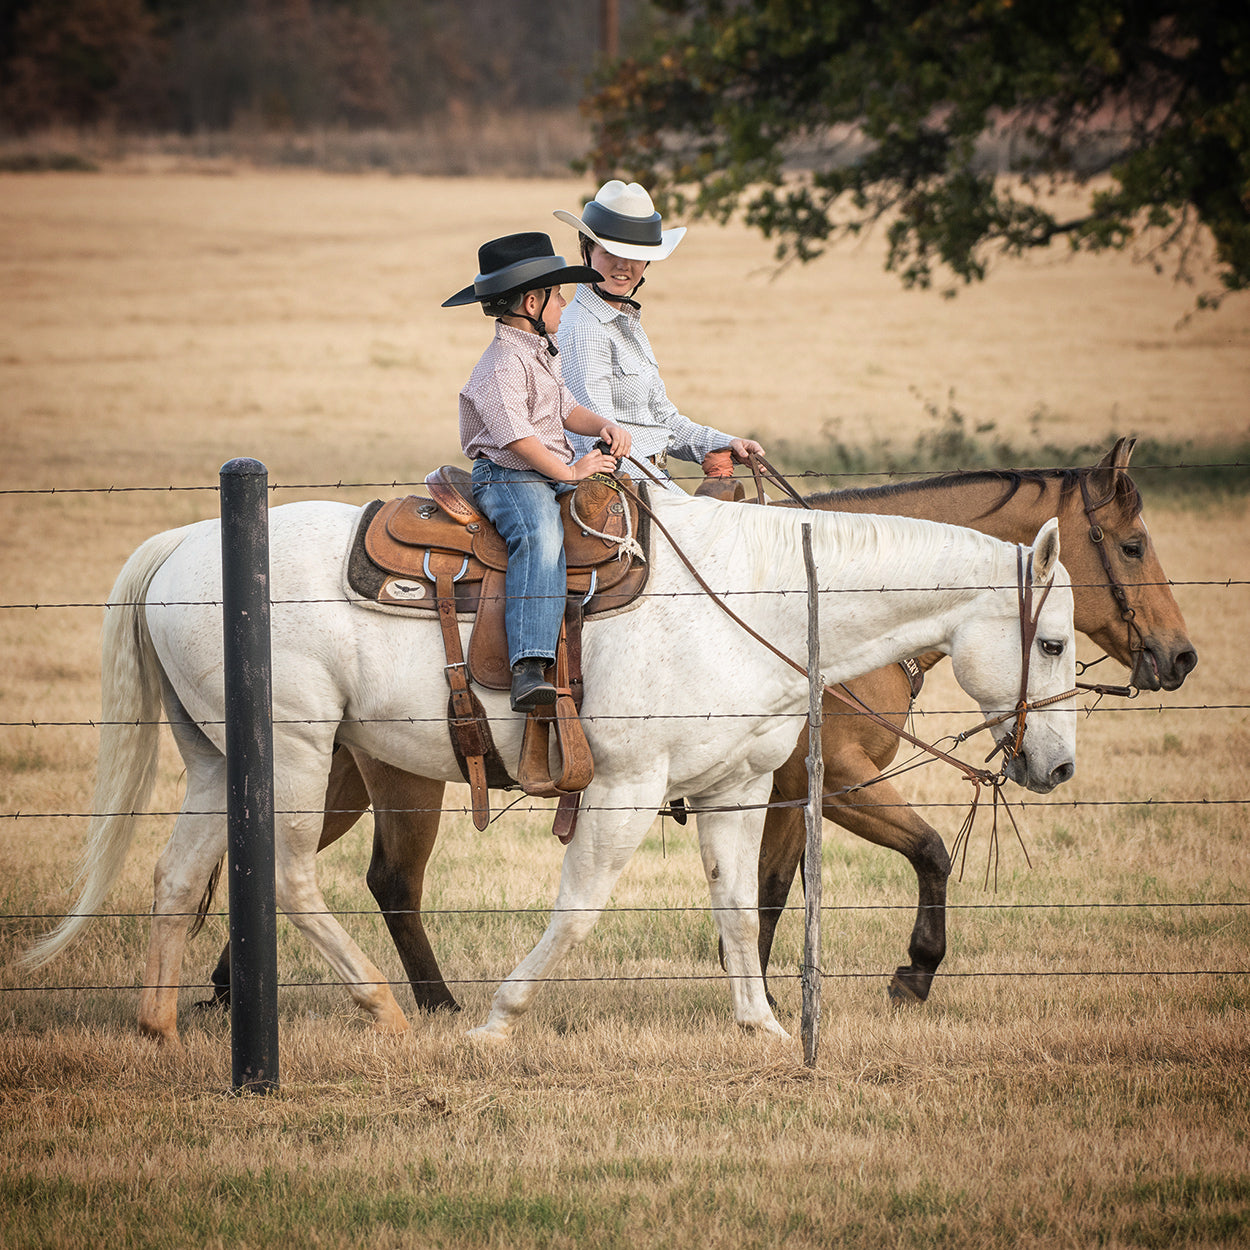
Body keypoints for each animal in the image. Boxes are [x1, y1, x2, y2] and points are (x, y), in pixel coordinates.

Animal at [24, 487, 1080, 1045]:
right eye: (1056, 642)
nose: (1061, 768)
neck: (762, 600)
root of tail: (184, 543)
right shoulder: (625, 789)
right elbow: (577, 911)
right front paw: (500, 1017)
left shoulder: (737, 790)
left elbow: (741, 908)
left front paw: (763, 1026)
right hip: (293, 748)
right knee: (286, 875)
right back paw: (387, 1008)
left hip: (220, 756)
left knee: (179, 873)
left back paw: (161, 1023)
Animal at [202, 437, 1190, 1015]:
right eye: (1132, 545)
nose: (1180, 658)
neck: (807, 606)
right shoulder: (843, 783)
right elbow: (929, 851)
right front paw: (911, 972)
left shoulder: (778, 789)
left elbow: (767, 889)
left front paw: (757, 992)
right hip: (400, 779)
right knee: (388, 882)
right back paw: (435, 1005)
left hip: (345, 770)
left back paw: (226, 990)